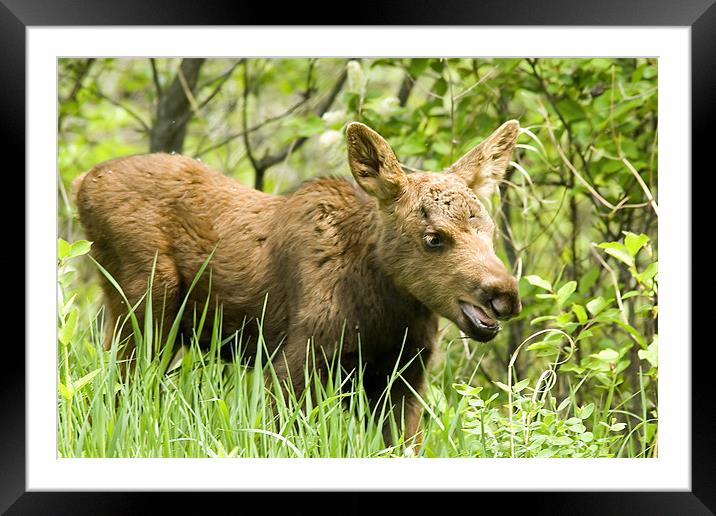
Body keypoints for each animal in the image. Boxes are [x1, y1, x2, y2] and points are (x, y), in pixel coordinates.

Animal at [75, 120, 524, 444]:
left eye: (489, 231)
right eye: (434, 238)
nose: (504, 295)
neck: (385, 314)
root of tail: (81, 184)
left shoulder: (404, 377)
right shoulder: (293, 364)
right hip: (145, 301)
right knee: (115, 390)